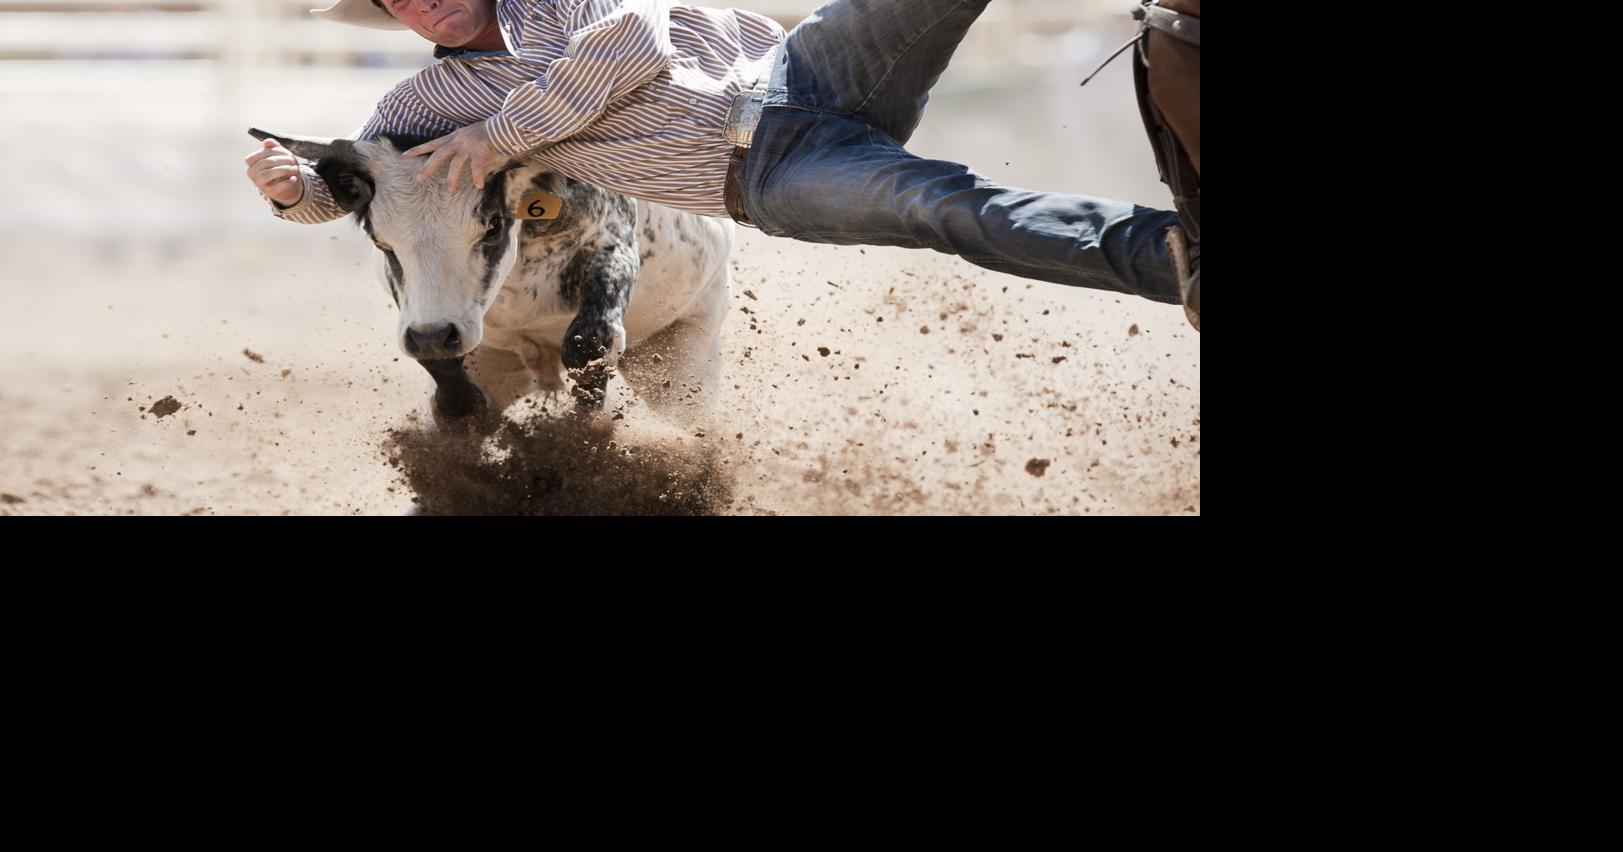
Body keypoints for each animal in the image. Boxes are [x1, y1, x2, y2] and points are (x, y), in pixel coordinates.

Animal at [248, 128, 733, 428]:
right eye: (380, 238)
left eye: (493, 225)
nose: (433, 333)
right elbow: (445, 375)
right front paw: (460, 411)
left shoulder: (612, 246)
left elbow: (588, 340)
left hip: (685, 363)